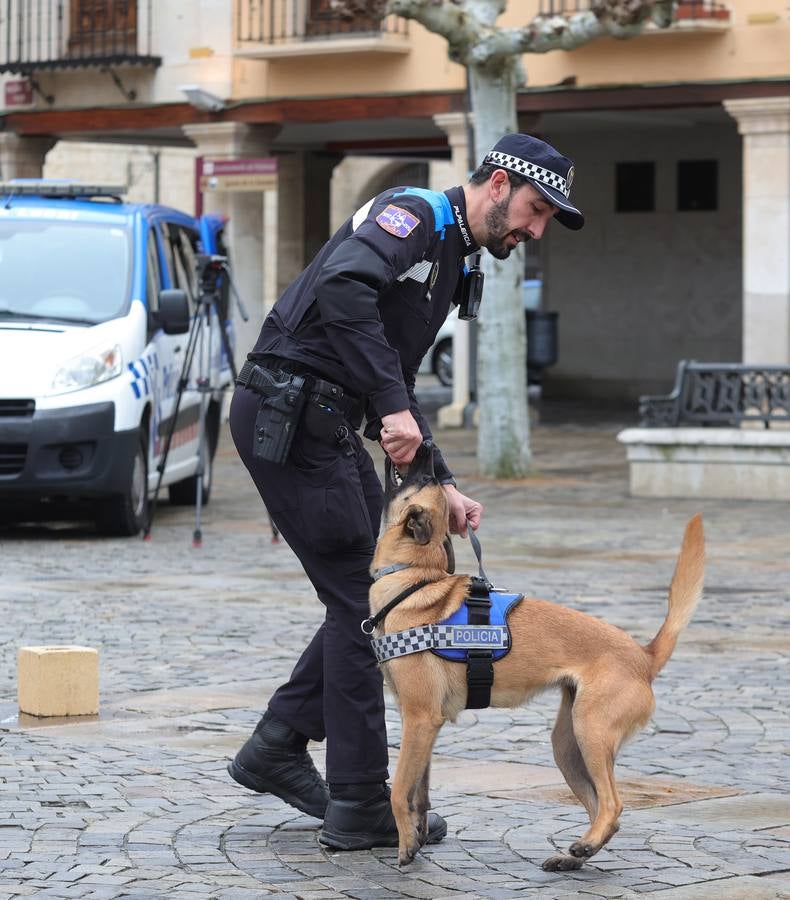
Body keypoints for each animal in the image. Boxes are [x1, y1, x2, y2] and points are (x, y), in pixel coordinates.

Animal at [370, 442, 704, 872]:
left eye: (424, 477)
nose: (427, 446)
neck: (413, 578)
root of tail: (644, 657)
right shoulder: (427, 725)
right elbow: (419, 793)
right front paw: (417, 836)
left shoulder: (419, 718)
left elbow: (399, 790)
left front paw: (405, 847)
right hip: (568, 746)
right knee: (600, 808)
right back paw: (574, 856)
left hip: (590, 733)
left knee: (613, 804)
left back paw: (581, 849)